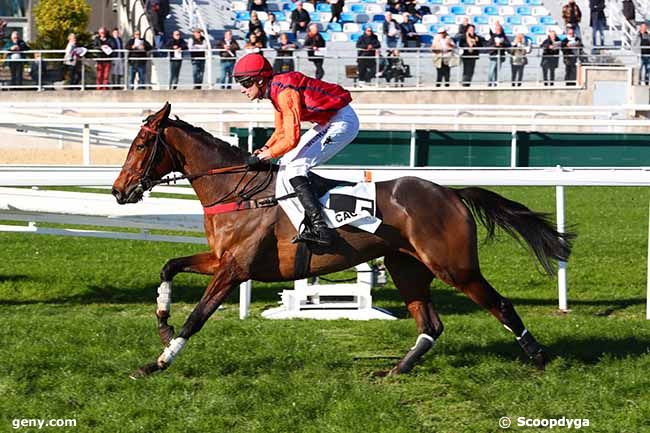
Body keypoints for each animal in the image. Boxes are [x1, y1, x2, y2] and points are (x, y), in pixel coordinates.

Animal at [111, 104, 572, 378]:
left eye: (141, 143)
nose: (119, 191)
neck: (240, 191)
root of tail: (452, 193)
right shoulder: (221, 259)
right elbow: (169, 266)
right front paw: (162, 323)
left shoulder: (235, 269)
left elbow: (198, 317)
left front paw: (159, 361)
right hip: (408, 267)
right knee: (430, 325)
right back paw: (395, 371)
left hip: (454, 267)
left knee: (500, 305)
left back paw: (540, 357)